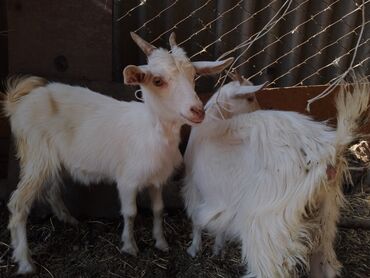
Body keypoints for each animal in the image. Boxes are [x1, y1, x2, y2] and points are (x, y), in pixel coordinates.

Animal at [1, 32, 234, 274]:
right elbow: (130, 213)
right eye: (157, 81)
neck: (152, 132)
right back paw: (25, 261)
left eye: (193, 75)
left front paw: (161, 243)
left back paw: (70, 221)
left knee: (52, 190)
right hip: (36, 156)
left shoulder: (157, 179)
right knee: (18, 204)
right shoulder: (127, 180)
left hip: (53, 160)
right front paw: (130, 247)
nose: (197, 111)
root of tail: (19, 103)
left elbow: (158, 209)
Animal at [183, 74, 370, 278]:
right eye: (250, 98)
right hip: (326, 215)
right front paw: (218, 249)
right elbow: (217, 227)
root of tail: (329, 152)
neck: (213, 121)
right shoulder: (219, 197)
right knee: (325, 262)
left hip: (268, 224)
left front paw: (193, 249)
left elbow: (196, 221)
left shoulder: (195, 188)